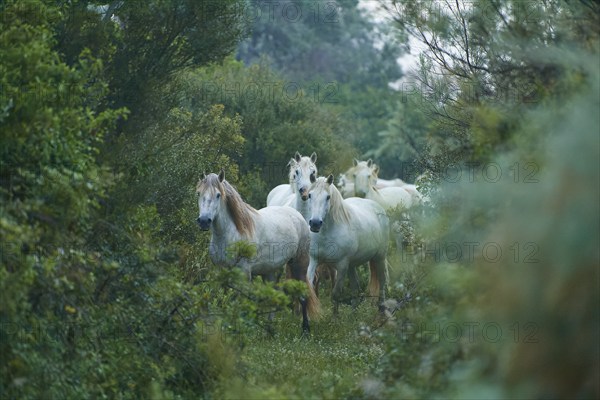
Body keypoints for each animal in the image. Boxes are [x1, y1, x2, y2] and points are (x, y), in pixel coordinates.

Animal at [196, 170, 318, 332]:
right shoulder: (221, 271)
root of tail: (298, 216)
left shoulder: (244, 273)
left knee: (303, 297)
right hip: (270, 271)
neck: (232, 234)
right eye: (198, 193)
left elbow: (238, 303)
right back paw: (269, 329)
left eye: (218, 195)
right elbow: (223, 302)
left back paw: (305, 329)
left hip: (300, 265)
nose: (204, 221)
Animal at [304, 177, 390, 314]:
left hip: (379, 258)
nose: (315, 223)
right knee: (356, 288)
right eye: (310, 195)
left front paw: (335, 317)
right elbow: (310, 288)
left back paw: (381, 309)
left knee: (382, 282)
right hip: (352, 265)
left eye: (328, 197)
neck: (326, 233)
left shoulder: (342, 266)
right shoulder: (314, 261)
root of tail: (379, 209)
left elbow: (335, 294)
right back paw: (353, 314)